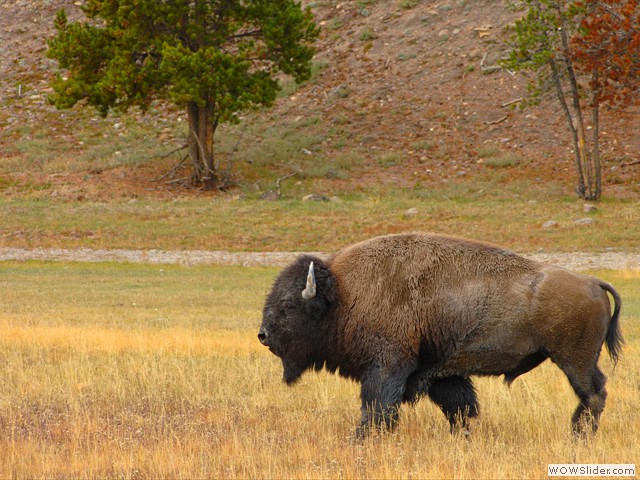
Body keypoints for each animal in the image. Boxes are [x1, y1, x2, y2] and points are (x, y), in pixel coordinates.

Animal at [258, 233, 622, 438]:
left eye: (288, 305)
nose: (262, 335)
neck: (344, 294)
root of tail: (592, 281)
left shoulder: (387, 367)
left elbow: (378, 408)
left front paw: (360, 439)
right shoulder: (440, 374)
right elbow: (459, 408)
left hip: (574, 360)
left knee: (594, 394)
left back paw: (578, 435)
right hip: (577, 360)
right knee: (595, 394)